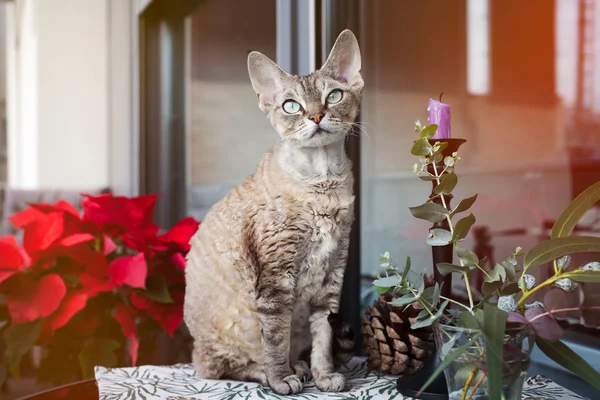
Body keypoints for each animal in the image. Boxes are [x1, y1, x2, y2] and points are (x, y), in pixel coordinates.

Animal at [183, 29, 360, 396]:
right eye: (291, 105)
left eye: (334, 96)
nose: (316, 116)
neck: (323, 182)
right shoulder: (276, 278)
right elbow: (276, 338)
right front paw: (280, 380)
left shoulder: (332, 274)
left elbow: (324, 336)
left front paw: (324, 376)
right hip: (234, 322)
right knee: (216, 367)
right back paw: (271, 373)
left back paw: (303, 366)